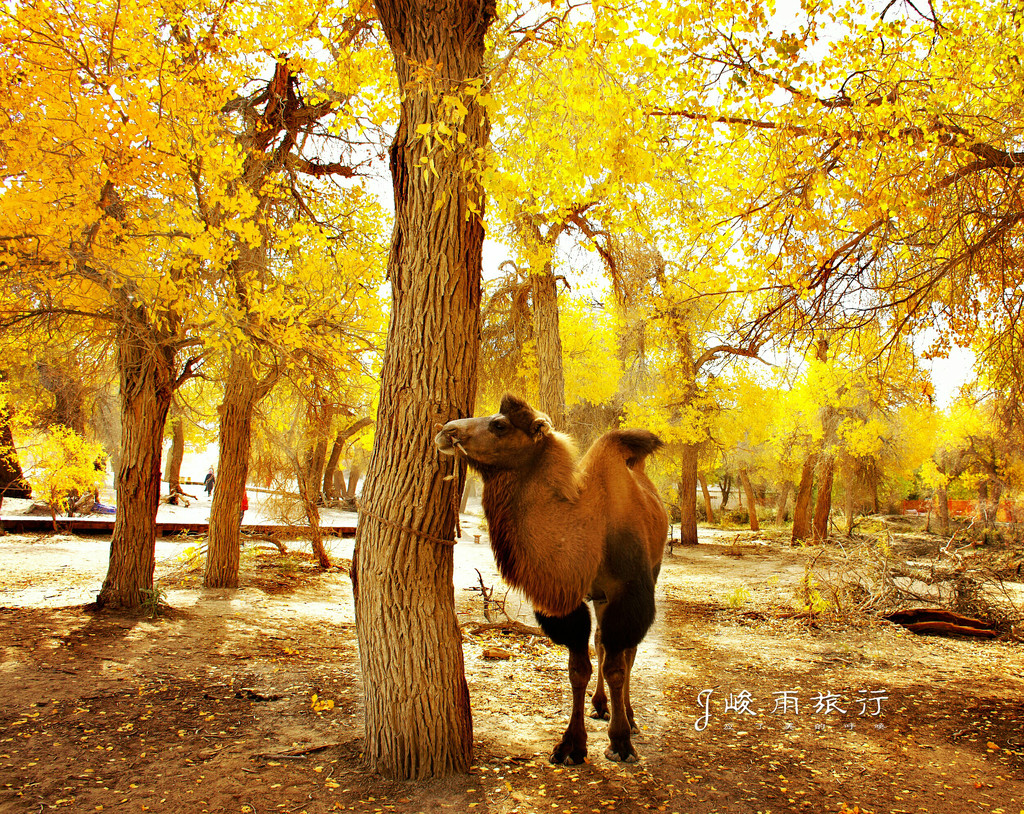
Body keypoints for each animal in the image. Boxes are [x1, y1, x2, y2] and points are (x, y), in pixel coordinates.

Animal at [436, 395, 667, 765]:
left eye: (500, 425)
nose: (446, 431)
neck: (589, 527)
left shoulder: (627, 594)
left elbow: (617, 666)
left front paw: (620, 742)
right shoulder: (568, 600)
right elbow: (579, 669)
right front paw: (571, 746)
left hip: (645, 576)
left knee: (625, 651)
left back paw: (628, 717)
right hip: (598, 596)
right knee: (601, 642)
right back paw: (600, 706)